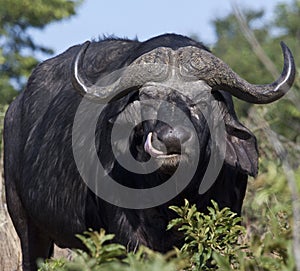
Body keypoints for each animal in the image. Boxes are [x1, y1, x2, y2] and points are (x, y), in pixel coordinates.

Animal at [4, 34, 296, 271]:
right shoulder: (129, 237)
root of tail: (14, 110)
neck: (175, 196)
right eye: (148, 100)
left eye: (201, 102)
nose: (171, 140)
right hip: (25, 224)